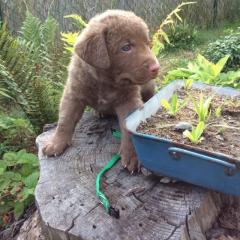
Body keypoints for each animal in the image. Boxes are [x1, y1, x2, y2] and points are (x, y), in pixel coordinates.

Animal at [43, 9, 159, 171]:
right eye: (126, 47)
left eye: (148, 44)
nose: (156, 67)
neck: (104, 82)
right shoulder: (73, 93)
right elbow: (65, 120)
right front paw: (56, 143)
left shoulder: (129, 100)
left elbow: (129, 129)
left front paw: (133, 156)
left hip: (148, 86)